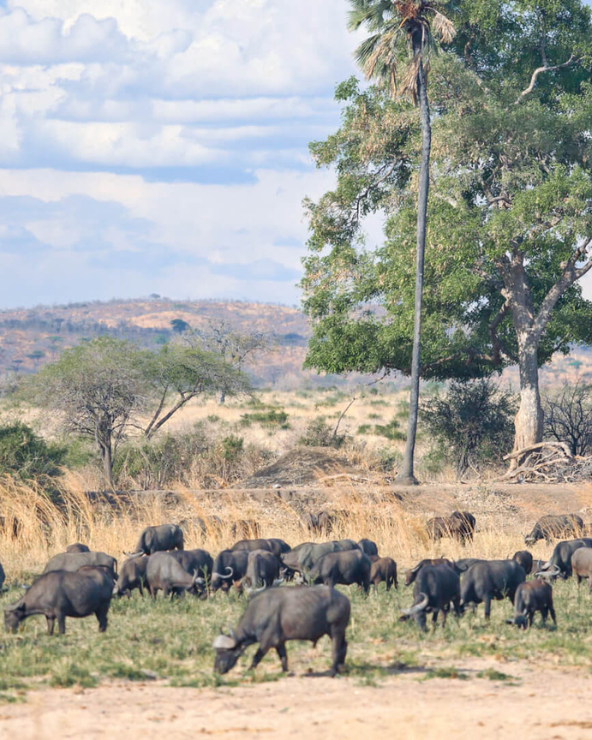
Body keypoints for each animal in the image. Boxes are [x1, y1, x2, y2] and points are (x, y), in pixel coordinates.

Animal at [213, 585, 350, 676]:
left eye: (225, 651)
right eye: (217, 652)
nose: (217, 669)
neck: (260, 611)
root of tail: (345, 599)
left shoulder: (267, 641)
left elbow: (256, 656)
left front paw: (249, 670)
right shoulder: (280, 641)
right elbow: (283, 656)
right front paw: (285, 671)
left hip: (335, 630)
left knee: (336, 649)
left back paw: (332, 671)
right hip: (340, 632)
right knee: (344, 645)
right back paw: (340, 668)